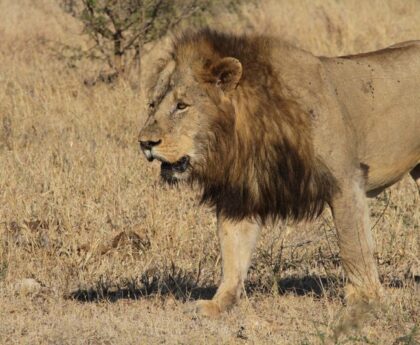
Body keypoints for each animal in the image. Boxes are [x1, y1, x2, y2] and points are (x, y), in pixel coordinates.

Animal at [138, 29, 420, 314]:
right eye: (152, 105)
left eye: (182, 106)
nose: (145, 143)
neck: (244, 132)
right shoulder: (240, 194)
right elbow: (232, 251)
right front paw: (218, 304)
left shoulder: (345, 182)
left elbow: (353, 245)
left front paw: (366, 300)